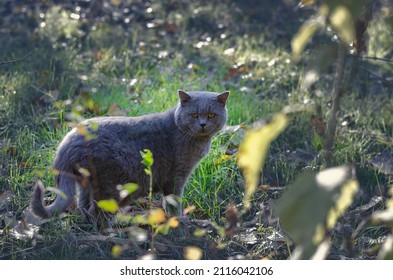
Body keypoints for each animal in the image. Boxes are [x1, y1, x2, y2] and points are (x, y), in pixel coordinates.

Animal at [31, 89, 230, 221]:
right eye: (194, 115)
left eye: (211, 115)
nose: (203, 124)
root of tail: (67, 141)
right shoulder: (177, 176)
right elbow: (175, 201)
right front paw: (179, 221)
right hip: (108, 185)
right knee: (97, 211)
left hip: (86, 182)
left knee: (84, 206)